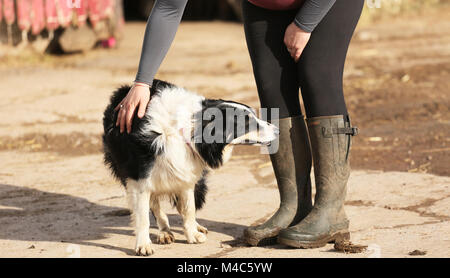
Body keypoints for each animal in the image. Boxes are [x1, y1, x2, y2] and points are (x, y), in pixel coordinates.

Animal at [103, 79, 278, 255]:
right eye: (247, 122)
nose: (277, 130)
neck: (190, 128)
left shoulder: (185, 170)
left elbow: (188, 208)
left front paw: (192, 234)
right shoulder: (138, 178)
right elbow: (143, 215)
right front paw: (143, 245)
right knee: (155, 205)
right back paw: (164, 232)